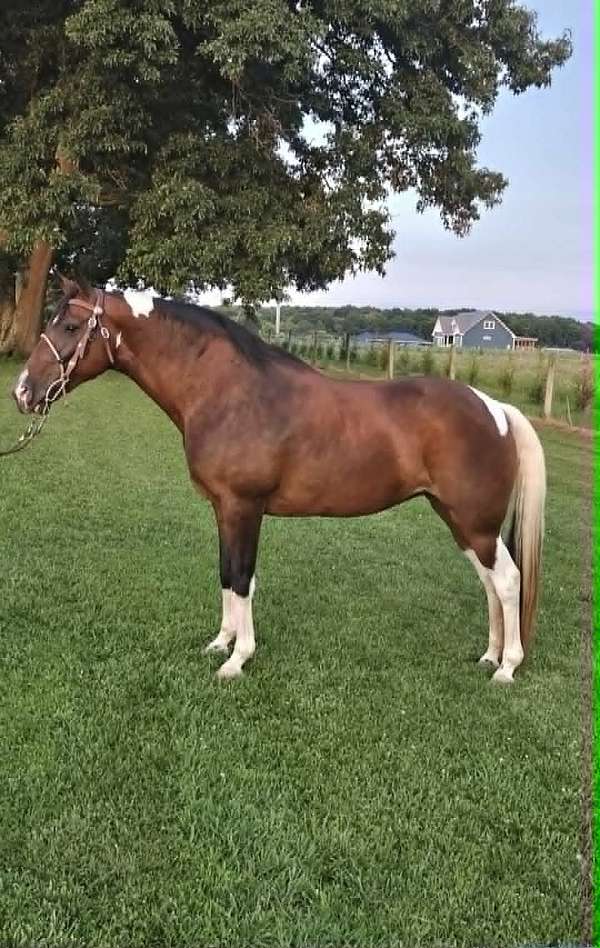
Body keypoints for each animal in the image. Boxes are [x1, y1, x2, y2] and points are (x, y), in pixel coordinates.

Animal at [13, 278, 546, 684]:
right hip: (462, 523)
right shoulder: (223, 509)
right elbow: (226, 573)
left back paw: (507, 667)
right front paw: (220, 643)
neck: (228, 392)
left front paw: (237, 660)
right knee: (490, 583)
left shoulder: (244, 507)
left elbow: (243, 577)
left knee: (507, 580)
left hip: (474, 523)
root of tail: (495, 408)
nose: (22, 391)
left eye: (70, 326)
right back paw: (489, 656)